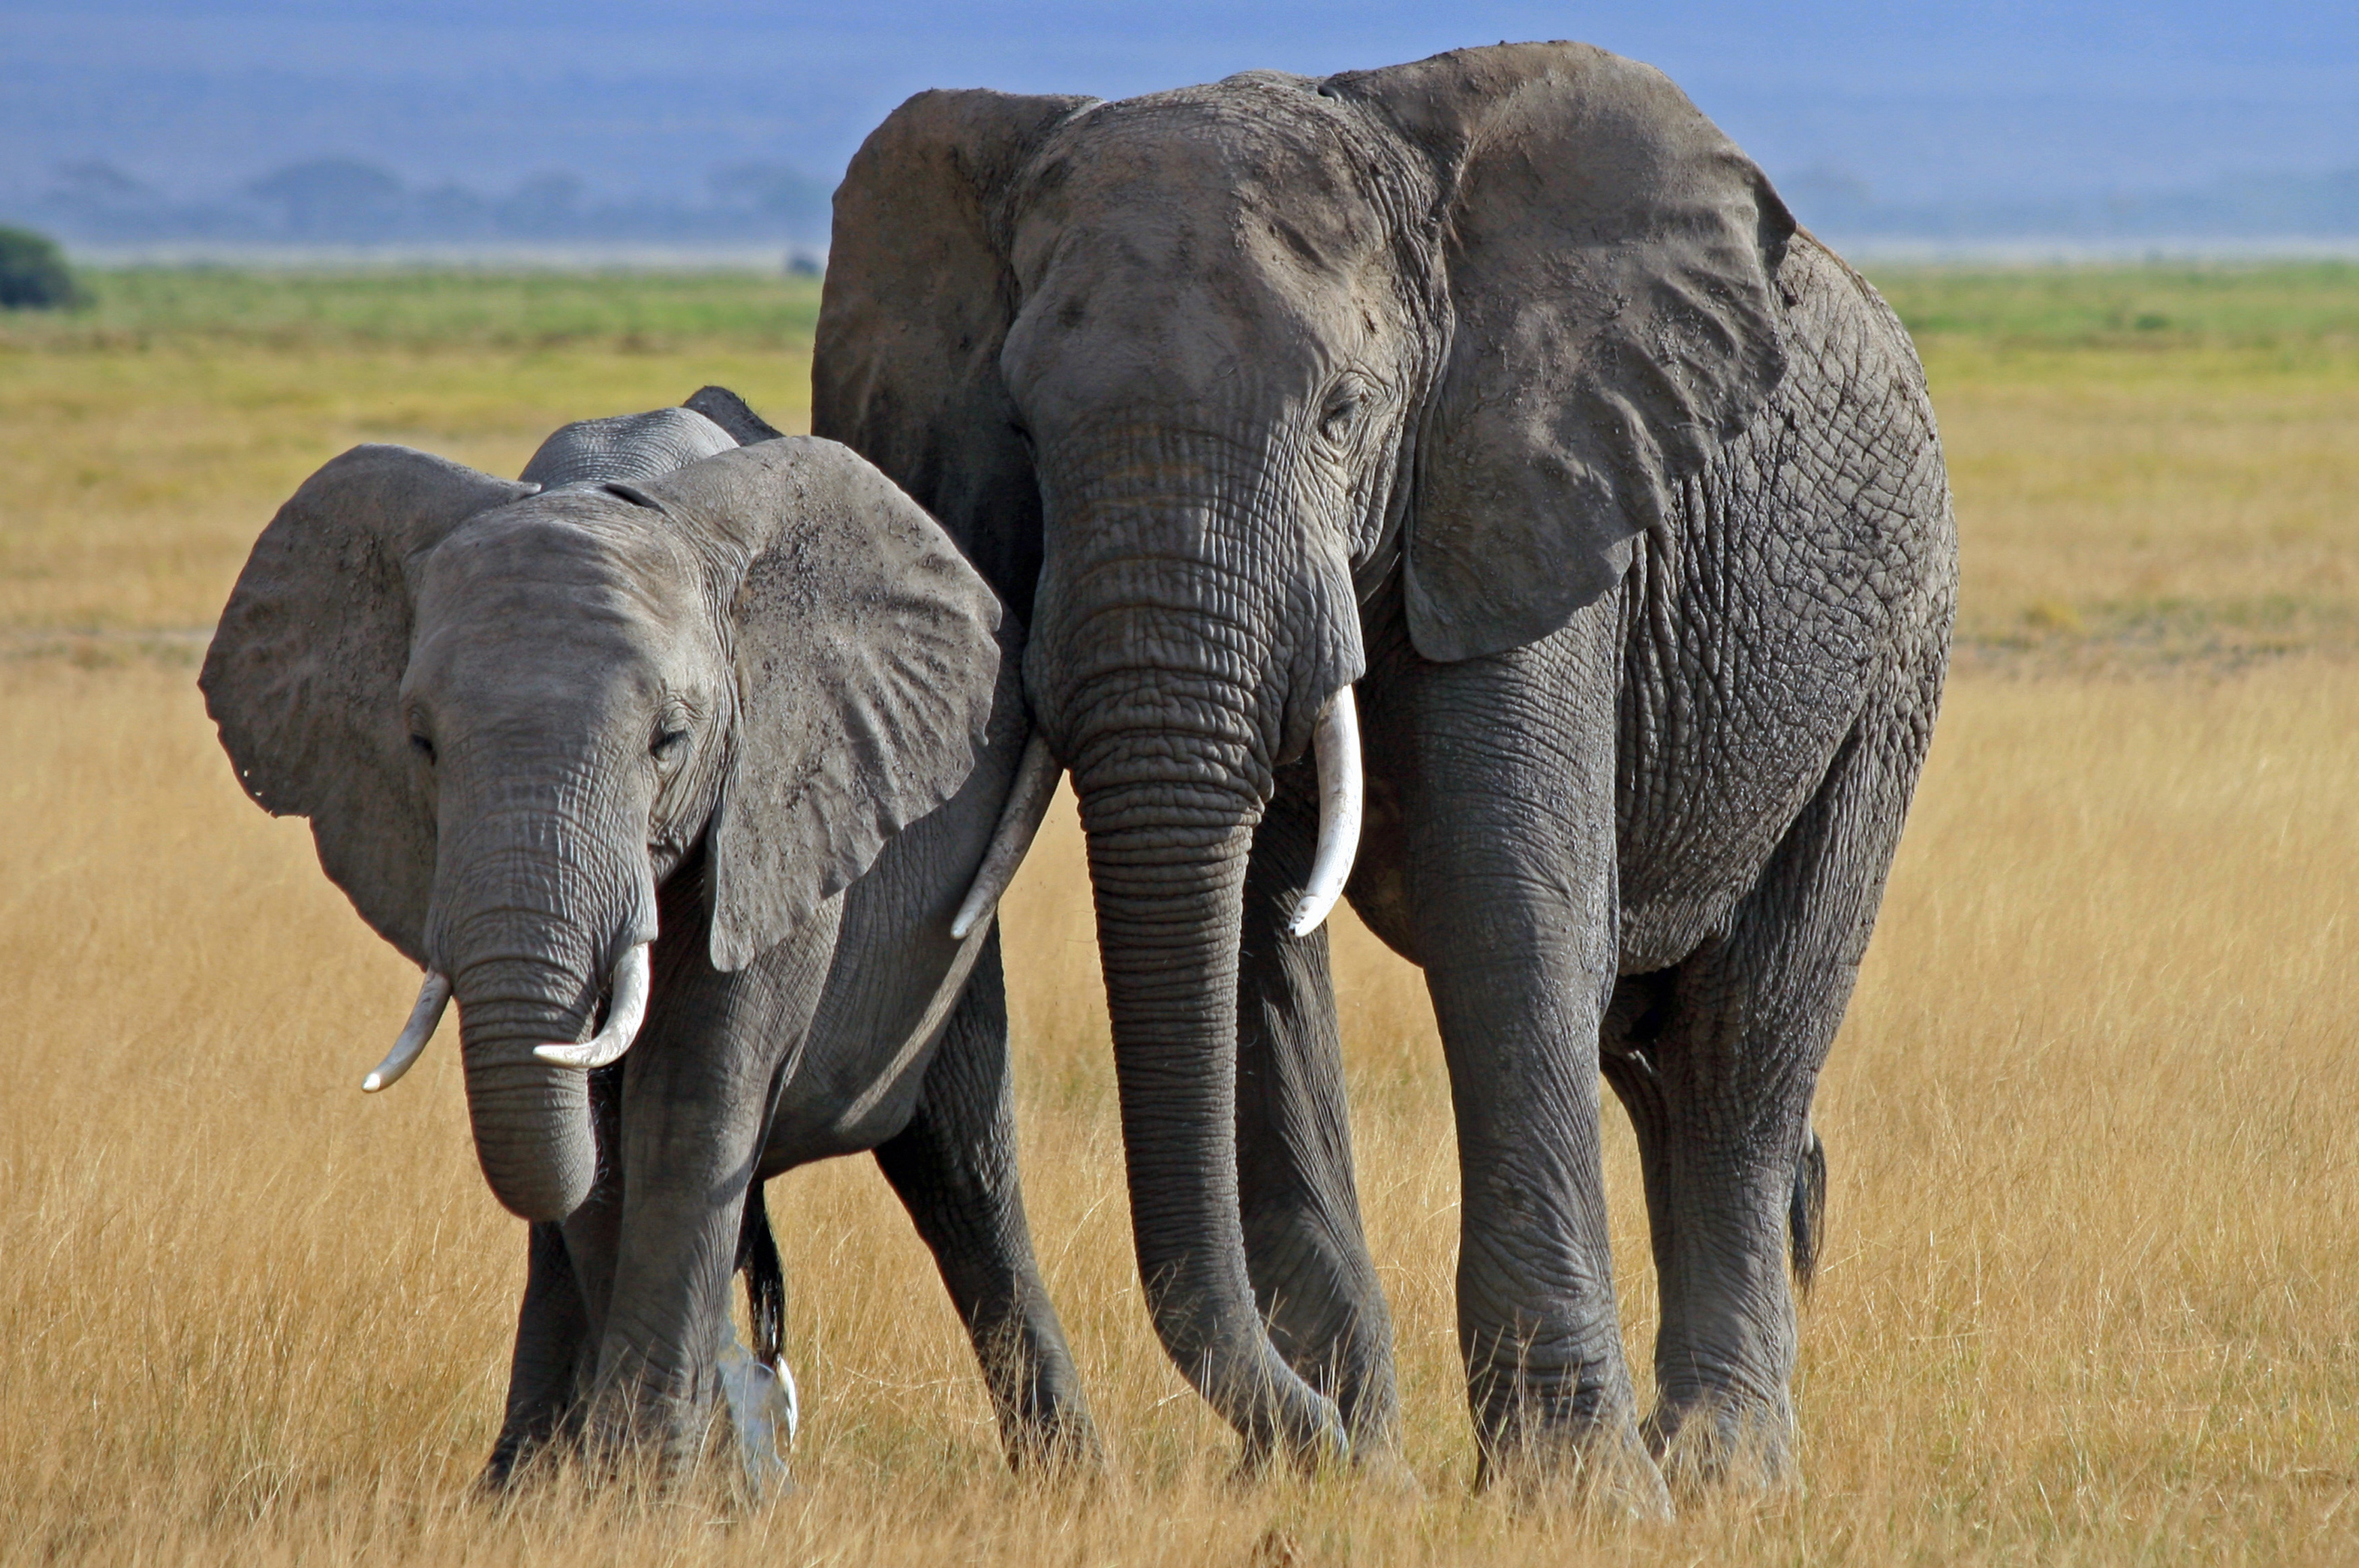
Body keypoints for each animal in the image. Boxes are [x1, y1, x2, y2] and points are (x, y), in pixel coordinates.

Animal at [200, 387, 1097, 1482]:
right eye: (421, 742)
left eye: (671, 740)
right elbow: (596, 1143)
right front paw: (625, 1484)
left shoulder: (782, 794)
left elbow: (690, 1105)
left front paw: (651, 1490)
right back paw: (521, 1482)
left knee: (961, 1171)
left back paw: (1070, 1482)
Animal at [810, 41, 1955, 1497]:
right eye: (1015, 429)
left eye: (1342, 414)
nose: (1302, 1430)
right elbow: (1251, 948)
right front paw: (1345, 1480)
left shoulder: (1519, 489)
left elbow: (1506, 911)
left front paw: (1576, 1499)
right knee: (1650, 1055)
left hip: (1892, 650)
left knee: (1742, 1042)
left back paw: (1716, 1472)